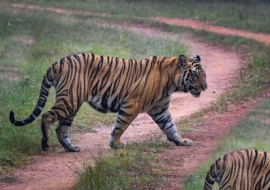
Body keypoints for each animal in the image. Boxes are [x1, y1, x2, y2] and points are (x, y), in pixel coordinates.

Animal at [8, 52, 207, 152]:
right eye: (195, 75)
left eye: (204, 74)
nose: (205, 87)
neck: (172, 82)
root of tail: (58, 62)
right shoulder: (131, 104)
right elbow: (121, 125)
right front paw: (116, 144)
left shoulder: (160, 109)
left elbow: (170, 127)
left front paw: (181, 141)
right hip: (70, 100)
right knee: (47, 116)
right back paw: (45, 144)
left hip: (72, 103)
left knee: (61, 128)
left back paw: (71, 148)